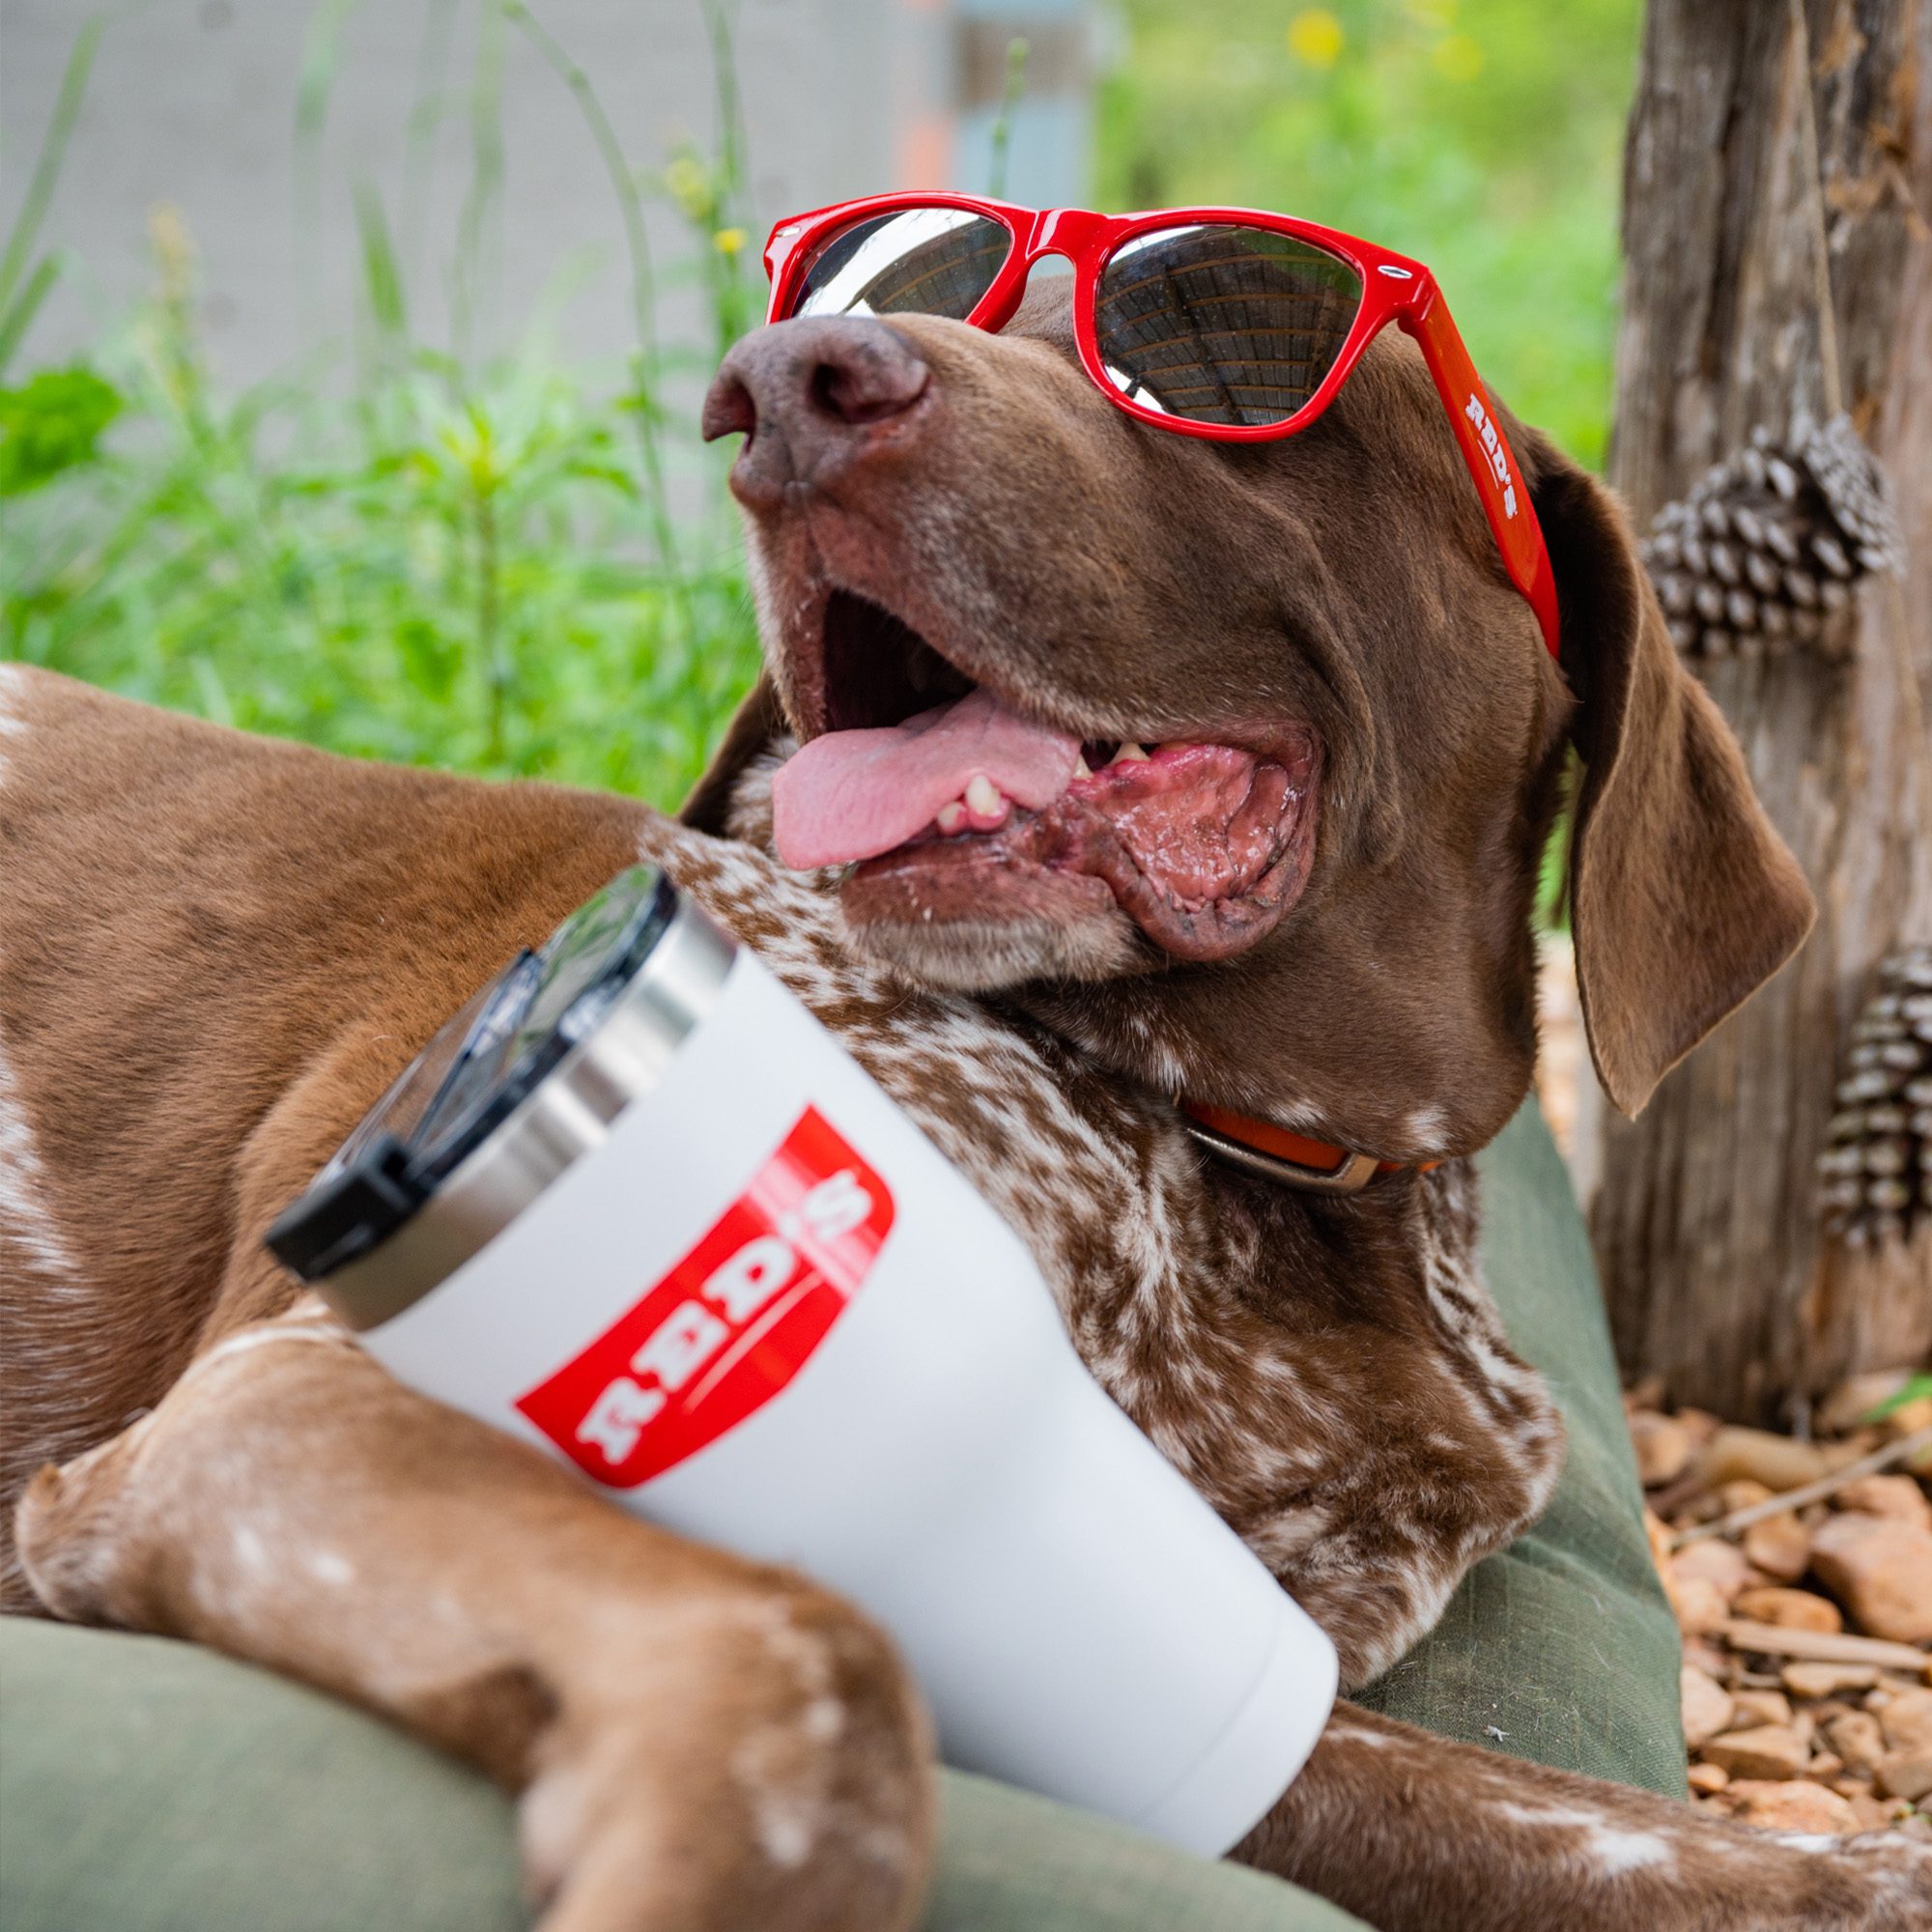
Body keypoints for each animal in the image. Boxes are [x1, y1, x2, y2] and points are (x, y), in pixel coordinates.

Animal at [0, 286, 1924, 1932]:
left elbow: (1612, 1834)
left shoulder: (1200, 1660)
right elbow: (816, 1672)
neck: (1244, 1169)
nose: (777, 387)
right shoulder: (286, 1397)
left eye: (1221, 356)